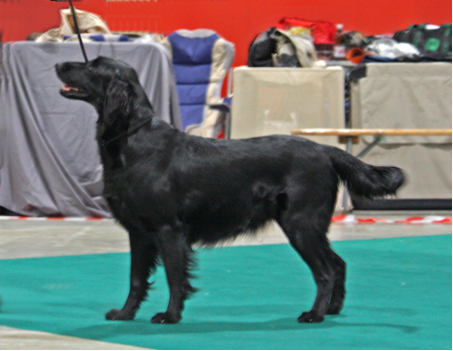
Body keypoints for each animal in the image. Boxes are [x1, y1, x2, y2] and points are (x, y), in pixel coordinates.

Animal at [54, 57, 404, 324]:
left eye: (93, 65)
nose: (58, 63)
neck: (134, 141)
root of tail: (324, 149)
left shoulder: (169, 229)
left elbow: (174, 277)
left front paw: (170, 316)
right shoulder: (139, 232)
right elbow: (136, 278)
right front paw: (125, 314)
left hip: (301, 223)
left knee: (326, 271)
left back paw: (314, 314)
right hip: (307, 225)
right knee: (338, 263)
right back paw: (332, 308)